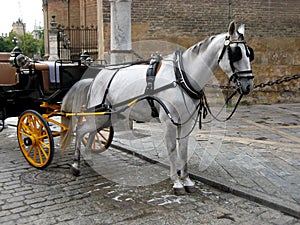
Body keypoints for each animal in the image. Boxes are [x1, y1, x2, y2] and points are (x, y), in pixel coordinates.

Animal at [62, 21, 254, 195]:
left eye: (249, 54)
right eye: (235, 53)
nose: (248, 85)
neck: (181, 78)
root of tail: (96, 78)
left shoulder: (186, 122)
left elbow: (183, 150)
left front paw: (187, 180)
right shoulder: (169, 122)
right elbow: (172, 150)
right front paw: (176, 182)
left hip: (106, 116)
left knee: (92, 132)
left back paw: (88, 158)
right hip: (100, 114)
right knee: (81, 130)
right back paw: (76, 164)